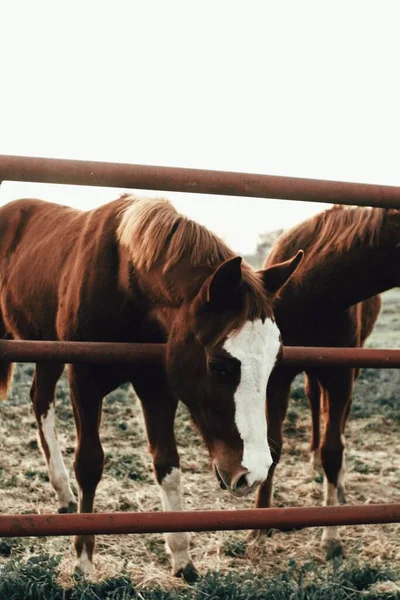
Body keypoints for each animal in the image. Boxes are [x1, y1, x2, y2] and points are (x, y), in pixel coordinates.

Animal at [0, 195, 302, 580]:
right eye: (219, 366)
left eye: (274, 362)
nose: (254, 472)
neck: (124, 281)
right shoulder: (83, 381)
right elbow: (90, 463)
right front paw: (84, 559)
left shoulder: (158, 386)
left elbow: (167, 465)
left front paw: (182, 557)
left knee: (40, 400)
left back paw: (63, 493)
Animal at [253, 205, 400, 556]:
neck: (311, 293)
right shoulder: (277, 377)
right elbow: (273, 446)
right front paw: (258, 528)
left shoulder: (340, 373)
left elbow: (334, 449)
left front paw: (331, 536)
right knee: (313, 400)